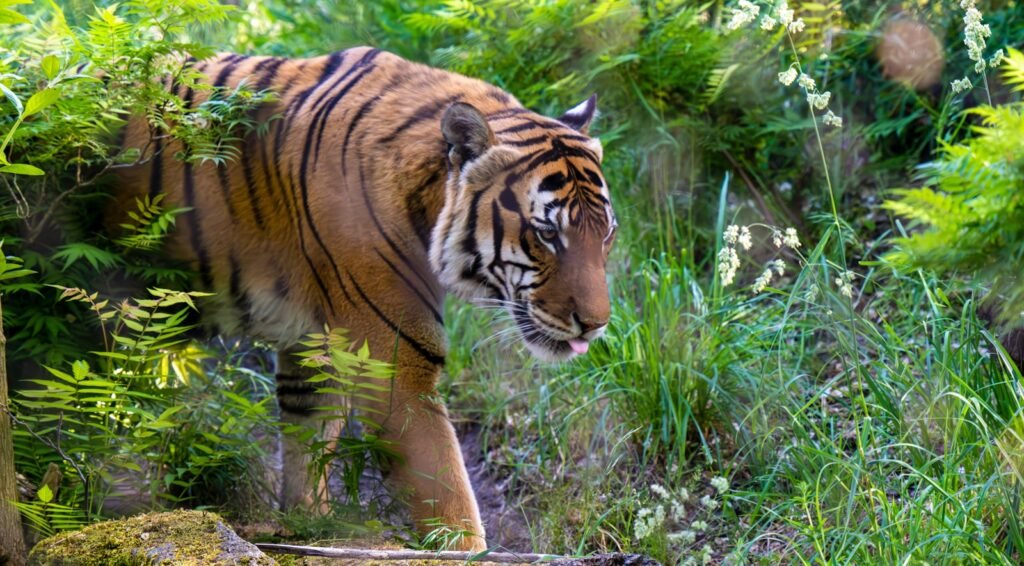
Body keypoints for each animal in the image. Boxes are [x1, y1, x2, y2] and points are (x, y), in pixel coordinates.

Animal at [114, 46, 616, 551]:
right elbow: (447, 491)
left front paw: (310, 527)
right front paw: (469, 551)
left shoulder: (311, 344)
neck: (426, 196)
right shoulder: (395, 362)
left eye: (607, 234)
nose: (596, 324)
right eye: (547, 233)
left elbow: (308, 442)